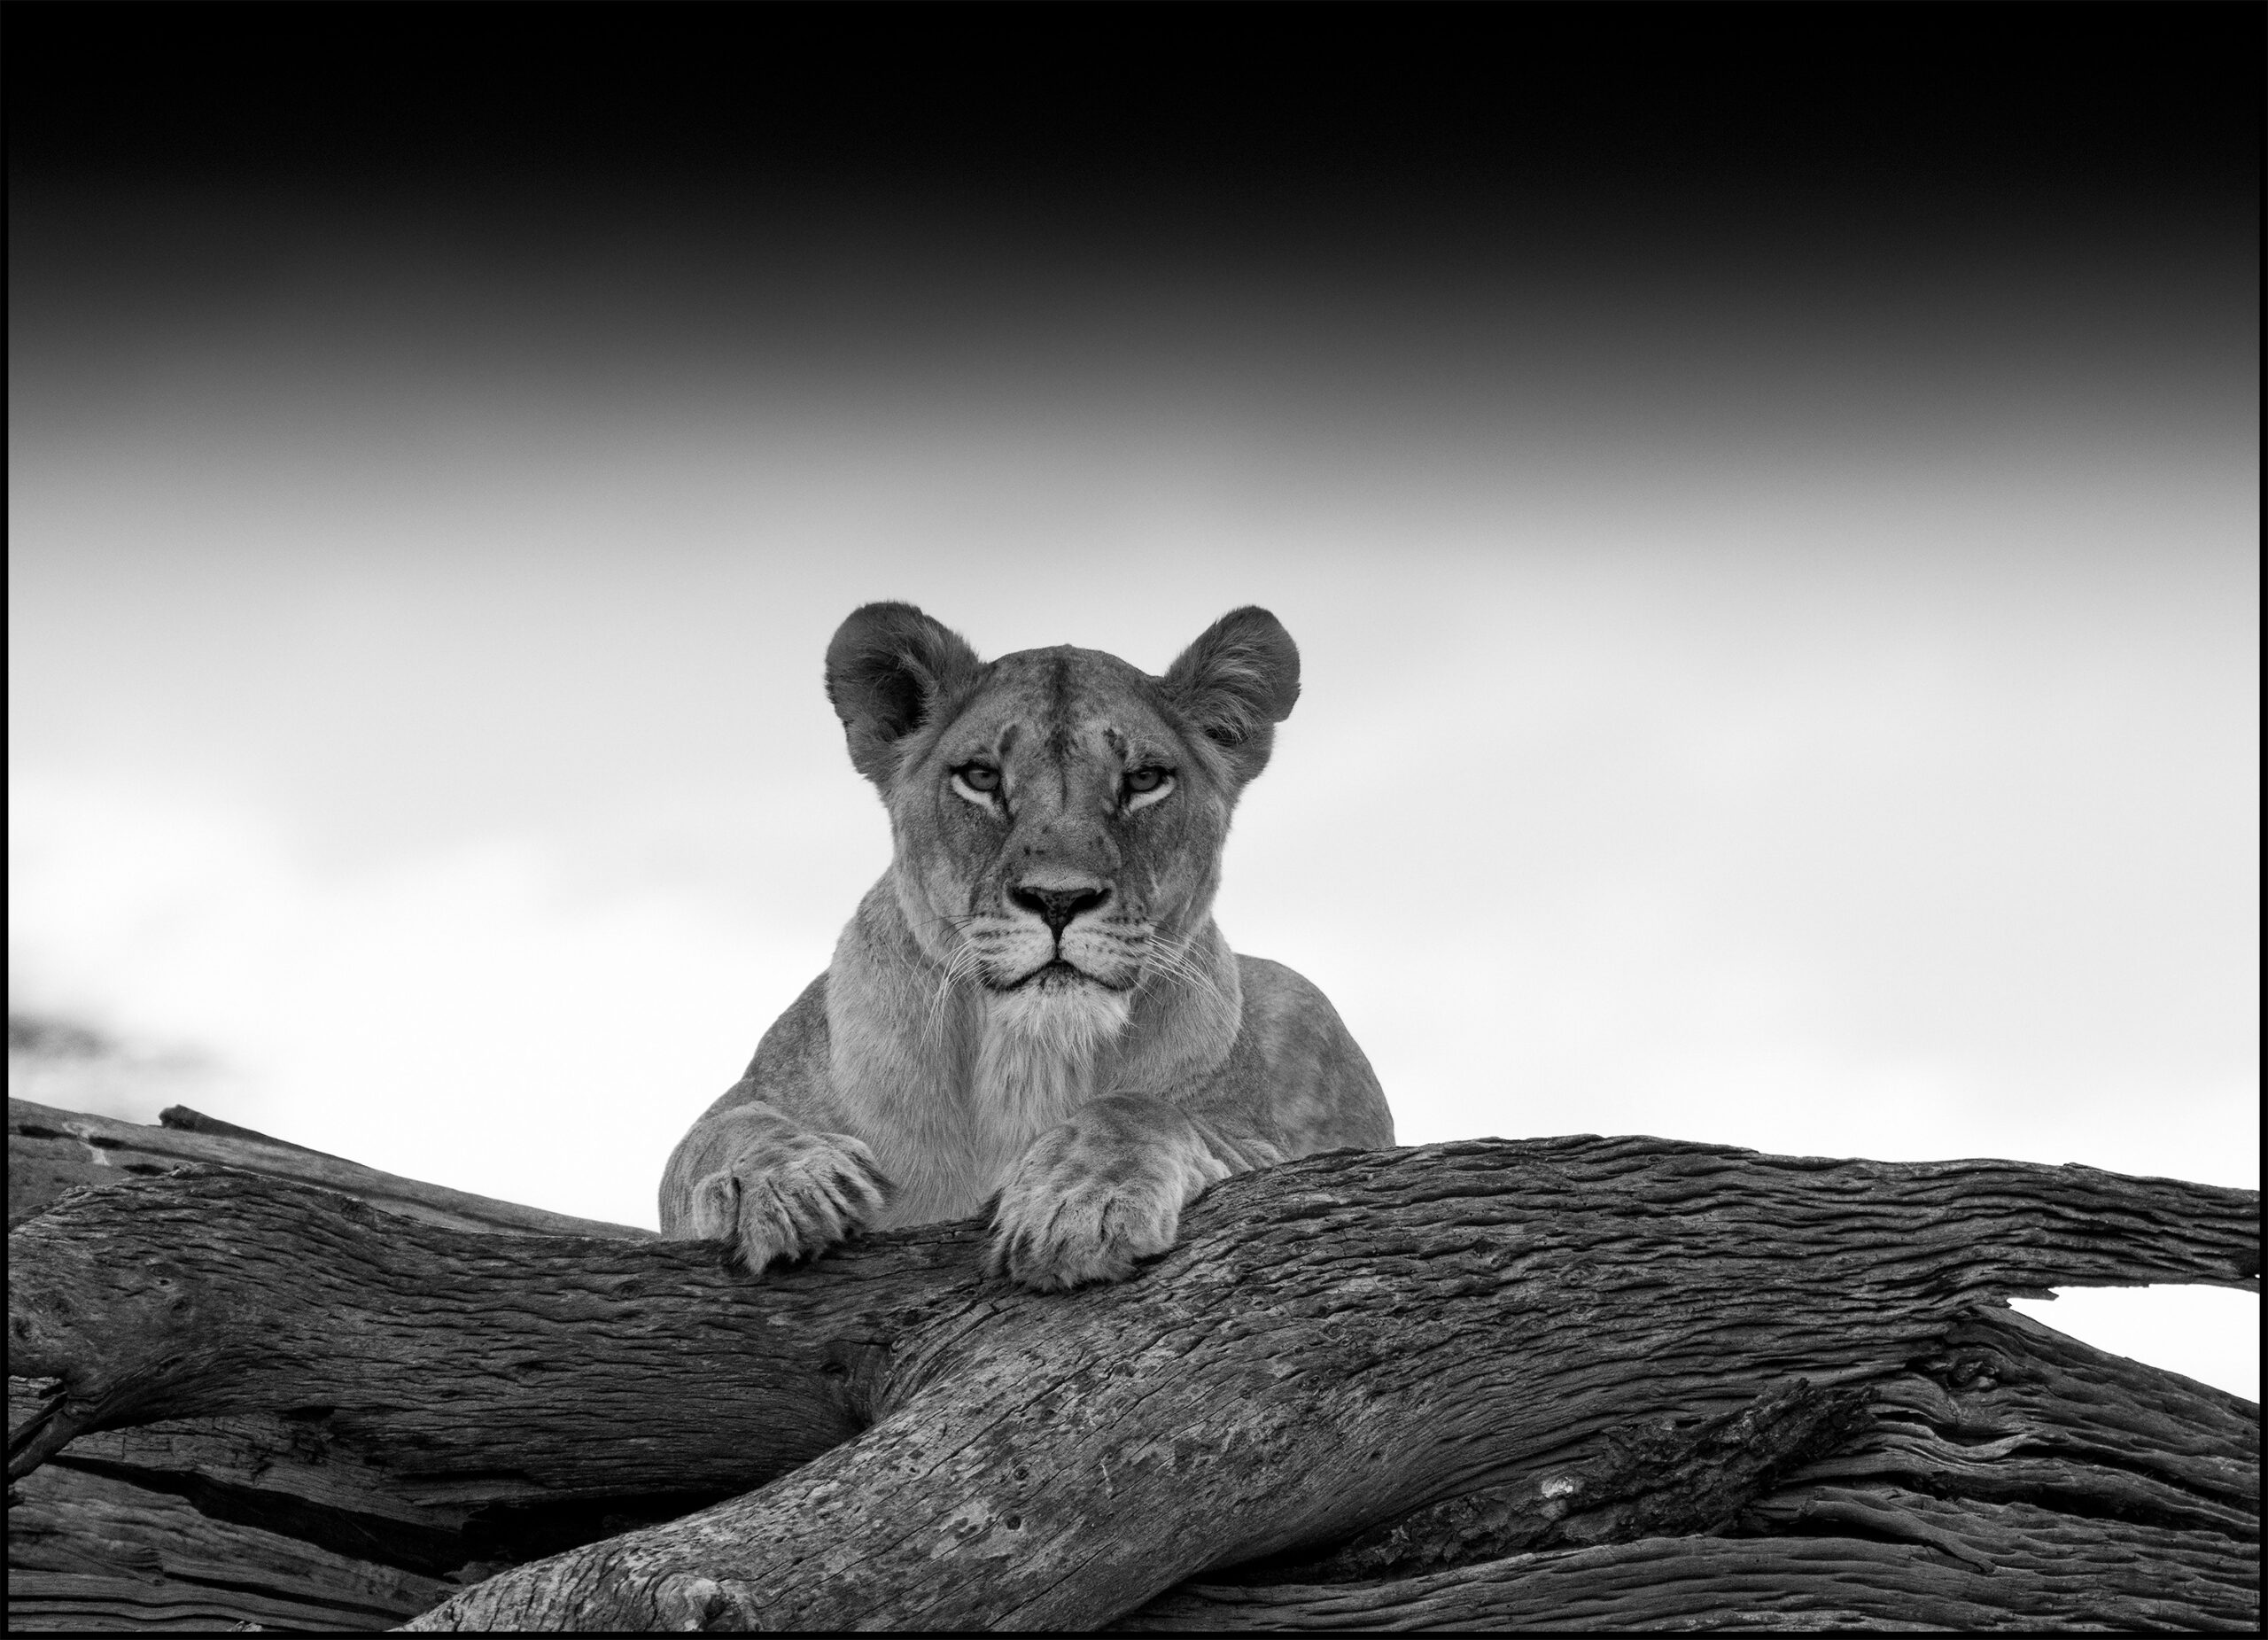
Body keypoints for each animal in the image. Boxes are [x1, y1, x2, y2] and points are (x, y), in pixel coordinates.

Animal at [659, 602, 1393, 1289]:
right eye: (981, 777)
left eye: (1145, 779)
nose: (1059, 899)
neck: (1026, 1054)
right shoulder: (730, 1116)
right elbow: (724, 1132)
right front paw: (787, 1183)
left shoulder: (1262, 1150)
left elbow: (1140, 1109)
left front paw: (1079, 1199)